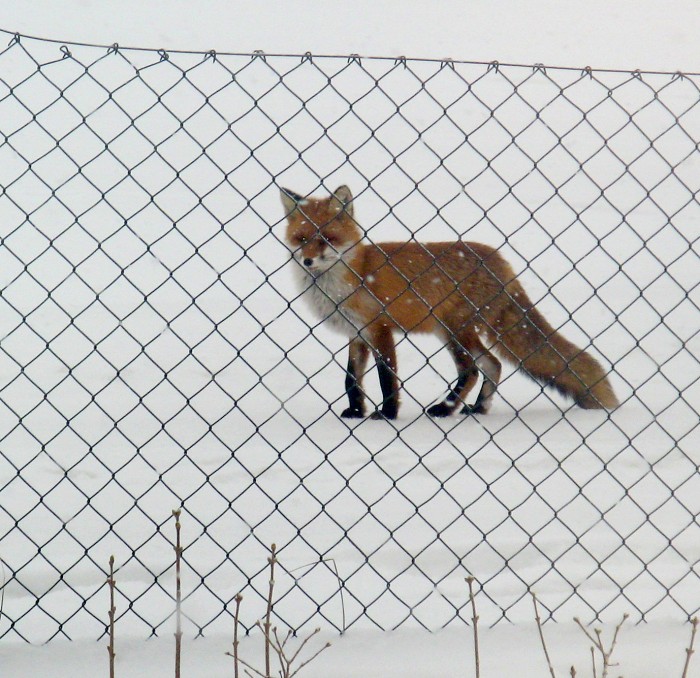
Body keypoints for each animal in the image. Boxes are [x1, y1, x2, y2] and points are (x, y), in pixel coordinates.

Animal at [280, 185, 618, 420]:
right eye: (301, 239)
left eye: (327, 239)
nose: (308, 261)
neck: (354, 274)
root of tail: (503, 263)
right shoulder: (357, 333)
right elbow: (351, 379)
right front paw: (355, 413)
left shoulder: (380, 329)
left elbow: (387, 379)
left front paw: (387, 415)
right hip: (455, 332)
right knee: (492, 364)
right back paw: (477, 408)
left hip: (453, 330)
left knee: (472, 370)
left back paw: (446, 408)